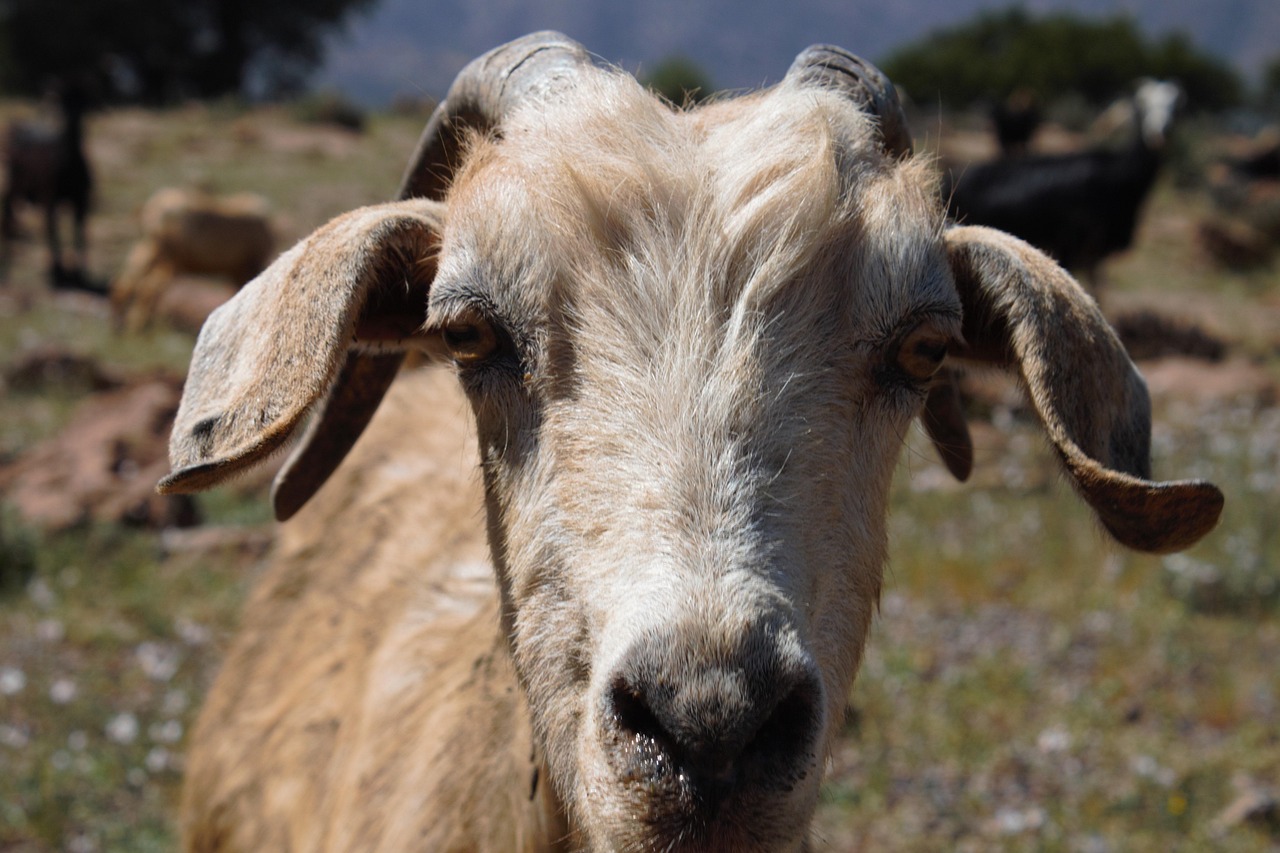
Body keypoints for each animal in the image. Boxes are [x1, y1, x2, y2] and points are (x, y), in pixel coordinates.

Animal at [1, 75, 93, 284]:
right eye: (62, 100)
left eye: (82, 101)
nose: (71, 115)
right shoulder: (50, 197)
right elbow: (53, 231)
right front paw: (58, 271)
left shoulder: (81, 200)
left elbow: (79, 233)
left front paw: (78, 271)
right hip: (14, 186)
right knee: (8, 215)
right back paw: (7, 263)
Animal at [110, 188, 272, 330]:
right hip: (172, 252)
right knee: (149, 285)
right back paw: (136, 321)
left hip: (155, 247)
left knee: (133, 275)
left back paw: (124, 317)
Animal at [947, 80, 1182, 285]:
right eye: (1143, 105)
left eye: (1175, 106)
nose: (1161, 132)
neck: (1120, 174)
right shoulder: (1069, 245)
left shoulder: (1094, 253)